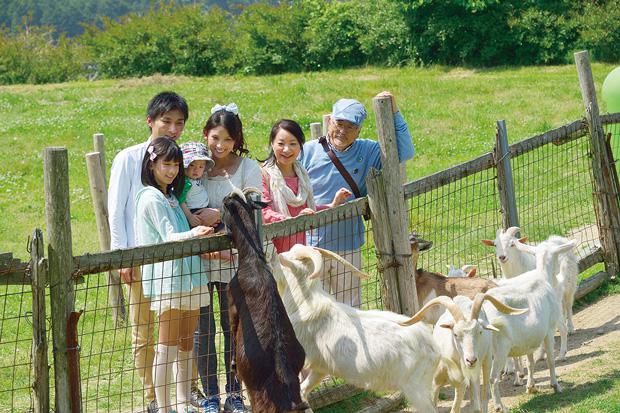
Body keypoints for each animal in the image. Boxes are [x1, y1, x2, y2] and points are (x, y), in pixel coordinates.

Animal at [223, 187, 310, 412]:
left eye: (224, 205)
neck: (253, 260)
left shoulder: (232, 300)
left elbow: (232, 327)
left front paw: (233, 364)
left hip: (260, 400)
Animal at [272, 243, 440, 410]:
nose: (273, 260)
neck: (304, 304)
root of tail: (433, 347)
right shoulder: (320, 368)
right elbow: (303, 392)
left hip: (416, 389)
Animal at [482, 227, 580, 358]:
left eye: (512, 244)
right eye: (495, 244)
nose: (502, 257)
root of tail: (556, 238)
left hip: (570, 284)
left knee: (568, 305)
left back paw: (570, 328)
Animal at [484, 238, 576, 412]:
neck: (543, 277)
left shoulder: (529, 338)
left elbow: (530, 362)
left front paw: (530, 387)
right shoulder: (548, 330)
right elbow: (550, 360)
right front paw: (555, 386)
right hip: (499, 351)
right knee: (492, 378)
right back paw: (499, 407)